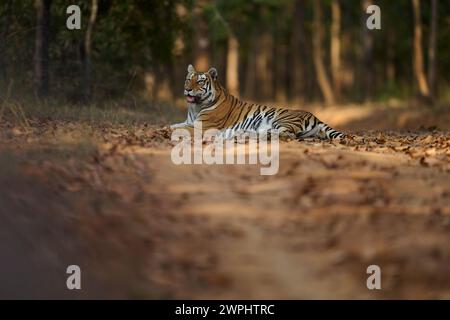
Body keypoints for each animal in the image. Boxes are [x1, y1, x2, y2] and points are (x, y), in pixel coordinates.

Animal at [171, 64, 346, 140]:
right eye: (188, 79)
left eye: (200, 81)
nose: (187, 89)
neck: (196, 107)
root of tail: (315, 116)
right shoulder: (189, 121)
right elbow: (175, 125)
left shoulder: (202, 126)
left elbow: (178, 129)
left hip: (282, 120)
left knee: (285, 134)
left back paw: (243, 134)